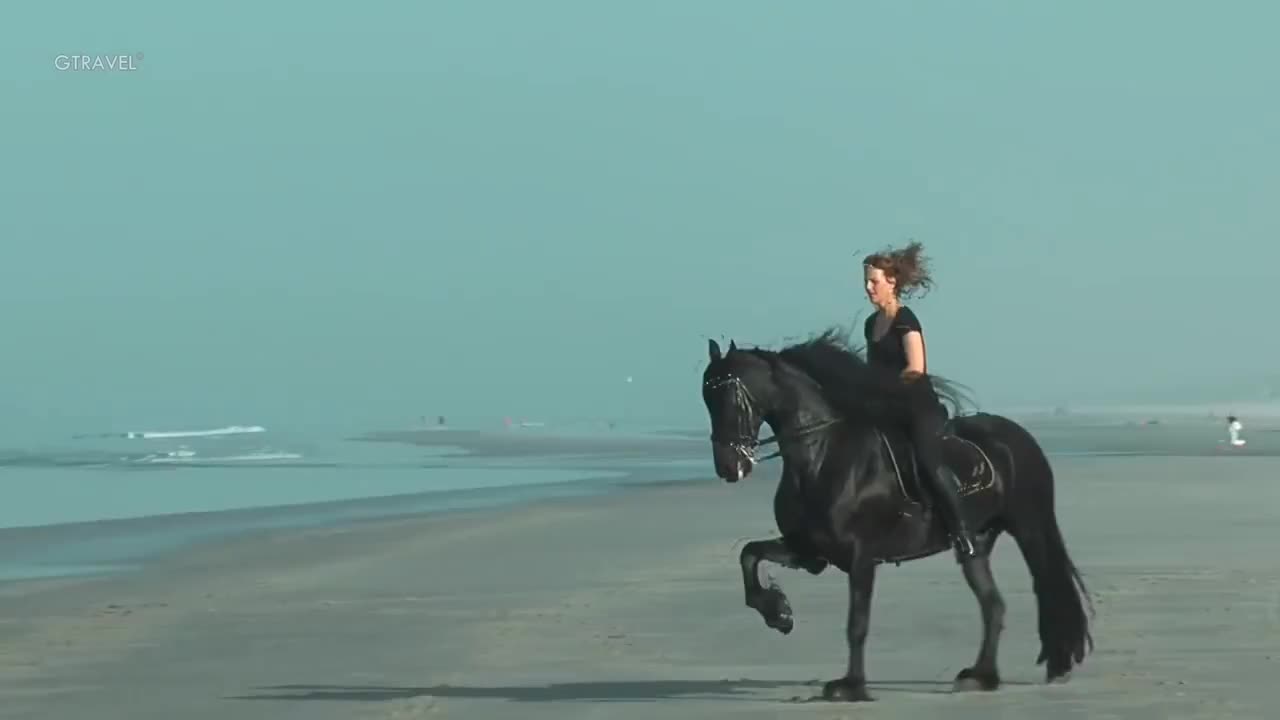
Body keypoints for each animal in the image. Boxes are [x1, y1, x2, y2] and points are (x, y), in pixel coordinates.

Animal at [701, 330, 1090, 702]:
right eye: (706, 398)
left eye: (731, 394)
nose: (728, 467)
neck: (823, 457)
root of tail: (1020, 437)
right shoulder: (809, 551)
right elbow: (749, 554)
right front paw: (778, 613)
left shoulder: (861, 556)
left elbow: (857, 624)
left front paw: (851, 687)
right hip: (979, 542)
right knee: (992, 604)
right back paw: (980, 677)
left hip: (1029, 526)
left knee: (1041, 586)